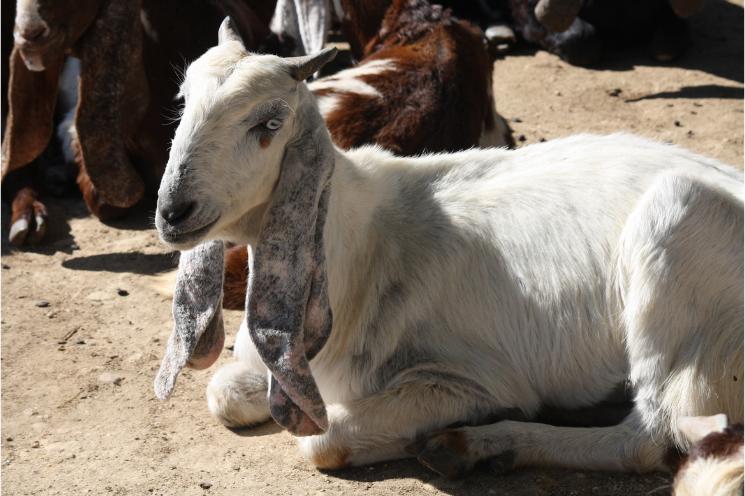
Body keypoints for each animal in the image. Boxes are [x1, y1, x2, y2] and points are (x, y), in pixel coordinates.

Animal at [154, 18, 740, 476]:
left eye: (269, 122)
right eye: (181, 101)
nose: (172, 212)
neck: (365, 248)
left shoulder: (470, 379)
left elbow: (322, 443)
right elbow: (223, 393)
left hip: (675, 243)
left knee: (649, 439)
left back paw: (477, 445)